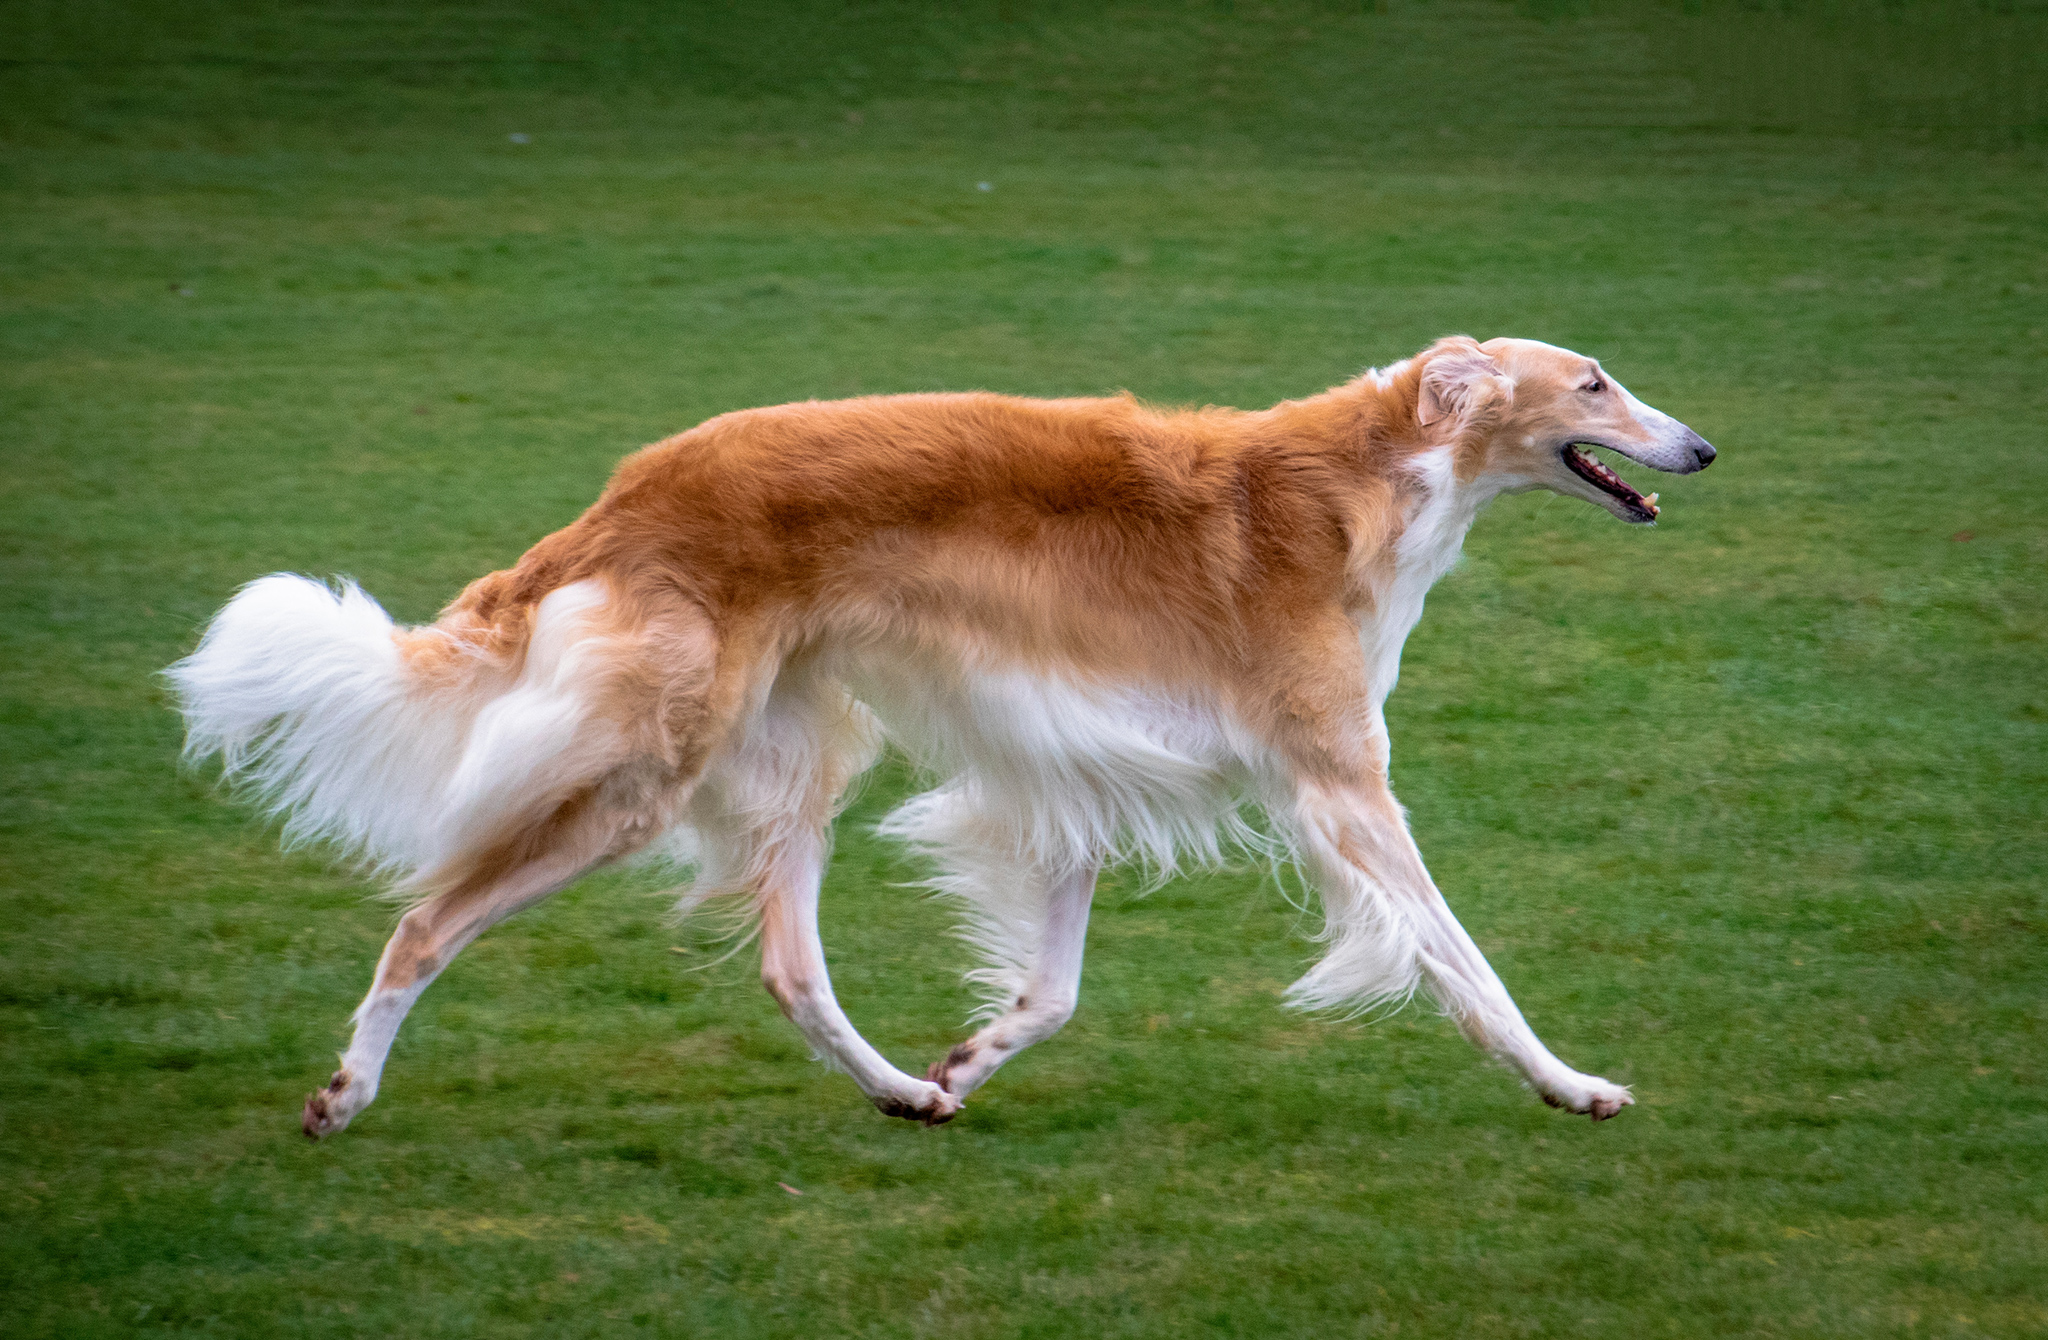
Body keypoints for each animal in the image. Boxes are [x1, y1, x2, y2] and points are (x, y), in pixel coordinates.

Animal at [172, 336, 1712, 1131]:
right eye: (1591, 381)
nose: (1698, 447)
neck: (1358, 479)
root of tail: (629, 487)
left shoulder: (1084, 769)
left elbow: (1053, 989)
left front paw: (973, 1056)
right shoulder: (1338, 781)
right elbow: (1466, 963)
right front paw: (1574, 1083)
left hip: (794, 761)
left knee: (789, 971)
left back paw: (906, 1089)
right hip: (643, 774)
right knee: (425, 920)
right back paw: (343, 1092)